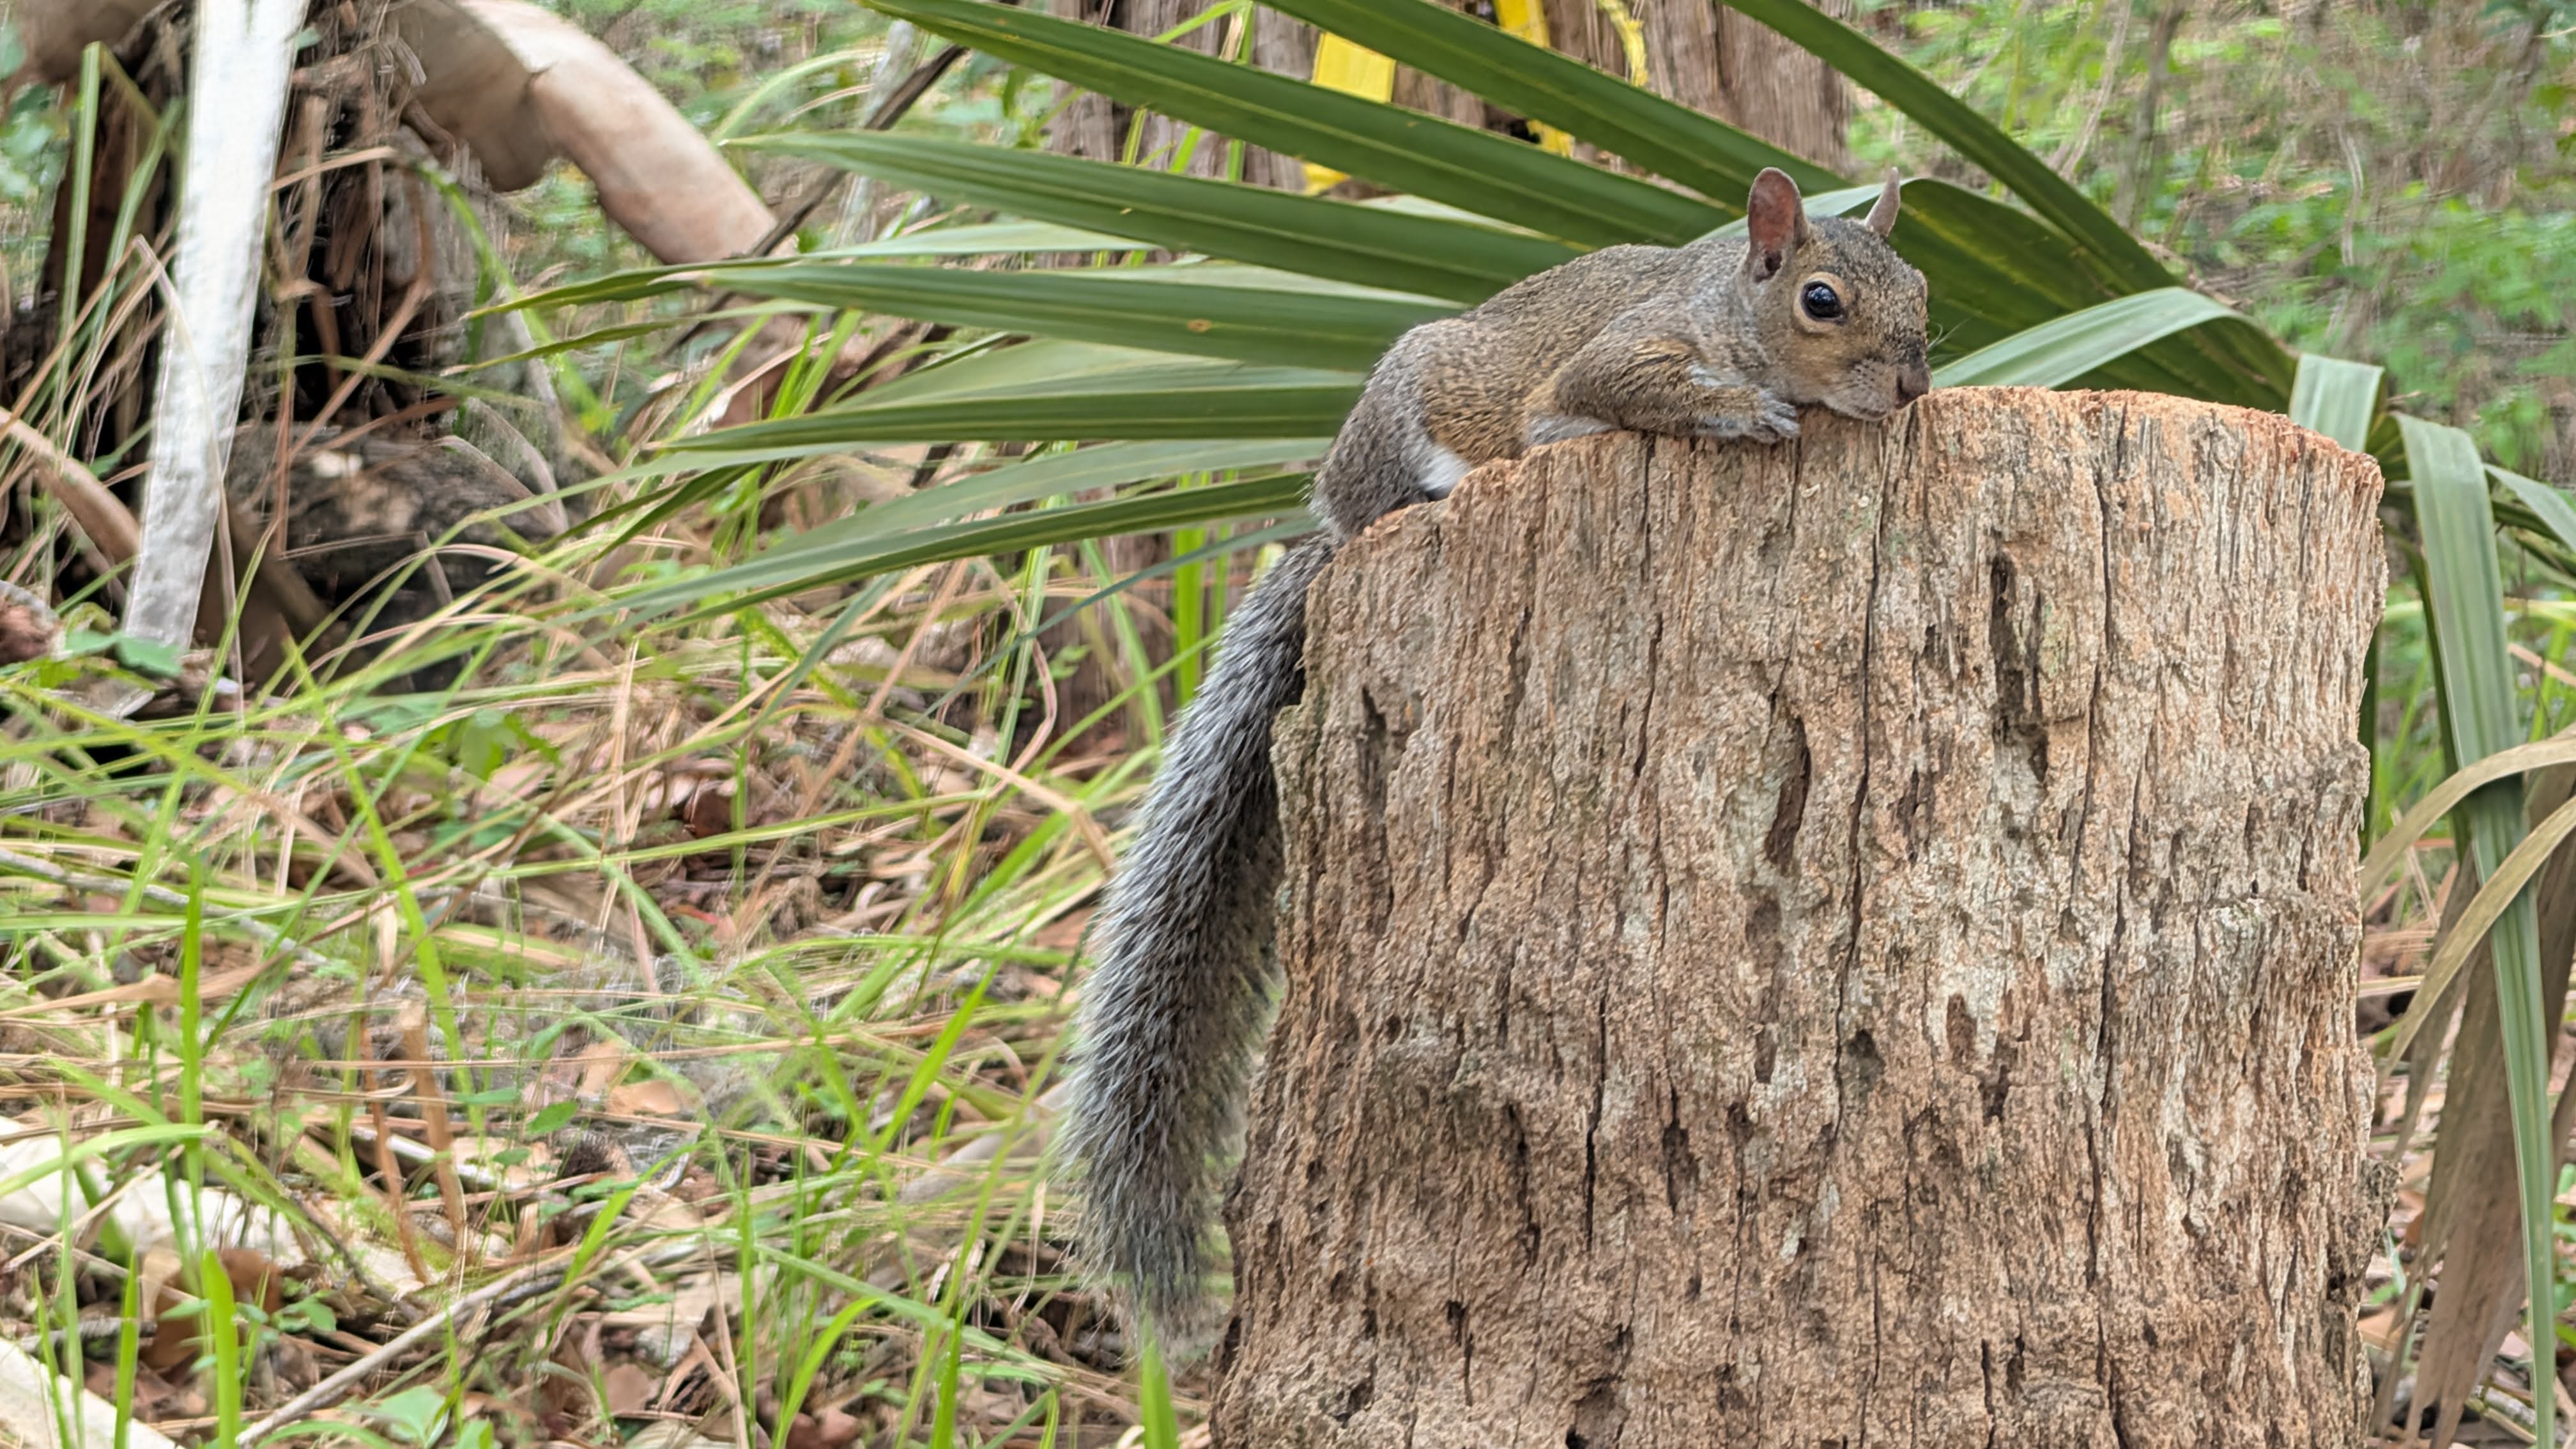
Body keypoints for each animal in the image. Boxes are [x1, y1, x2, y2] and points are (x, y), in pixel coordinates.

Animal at [1059, 166, 1933, 1351]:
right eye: (1822, 301)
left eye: (1923, 285)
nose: (1914, 386)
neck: (1726, 305)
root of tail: (1332, 522)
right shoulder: (1615, 354)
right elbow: (1621, 390)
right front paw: (1737, 411)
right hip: (1408, 417)